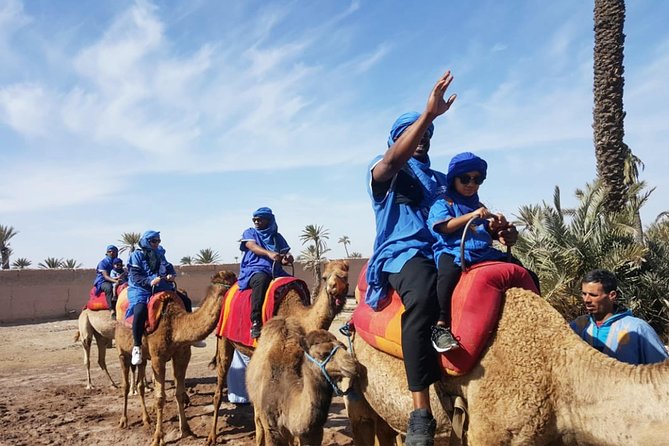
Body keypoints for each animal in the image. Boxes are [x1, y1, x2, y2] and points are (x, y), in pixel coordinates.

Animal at [116, 270, 236, 446]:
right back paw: (123, 421)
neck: (175, 326)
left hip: (144, 358)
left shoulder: (182, 355)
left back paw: (146, 419)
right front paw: (158, 438)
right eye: (232, 281)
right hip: (122, 350)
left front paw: (186, 430)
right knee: (125, 384)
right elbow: (160, 397)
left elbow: (179, 393)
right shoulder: (158, 358)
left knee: (140, 383)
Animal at [247, 318, 360, 446]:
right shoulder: (272, 428)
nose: (352, 365)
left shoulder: (314, 432)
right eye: (322, 353)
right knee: (258, 423)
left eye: (344, 347)